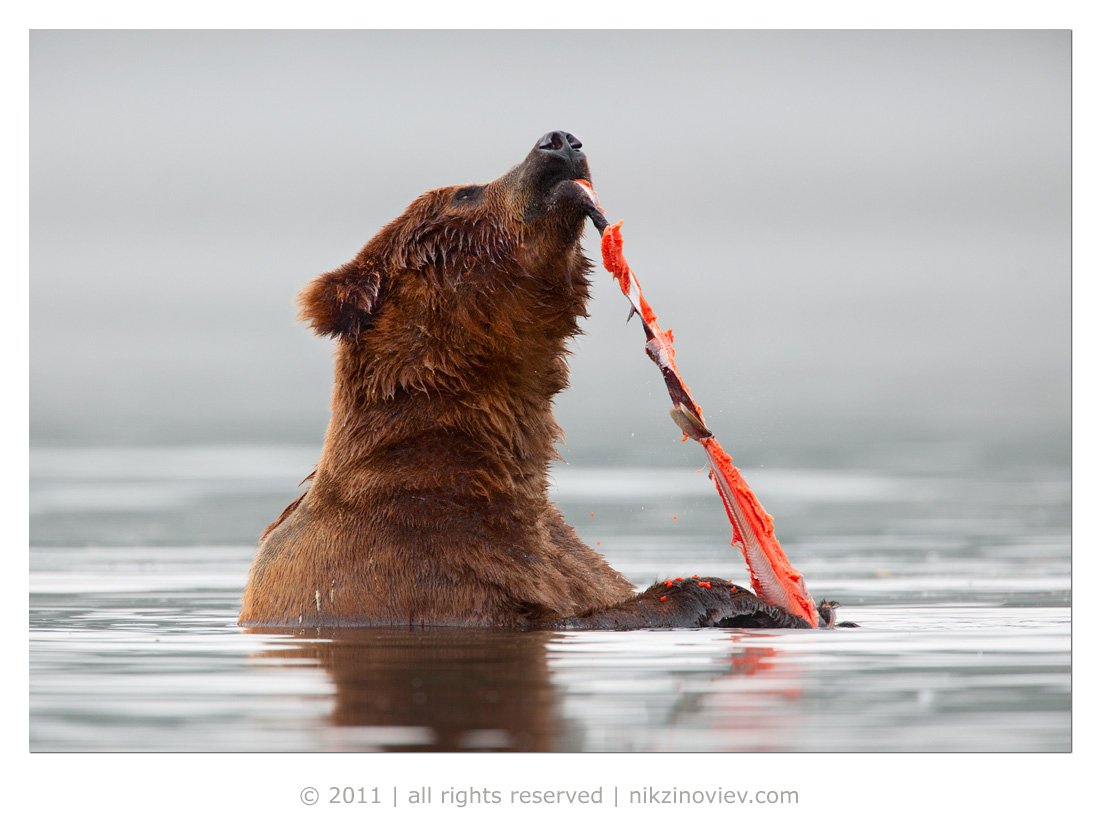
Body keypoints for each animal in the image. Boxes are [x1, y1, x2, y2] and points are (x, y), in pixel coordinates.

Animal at [238, 131, 818, 628]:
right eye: (465, 193)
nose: (559, 141)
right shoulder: (419, 565)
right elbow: (579, 615)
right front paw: (735, 595)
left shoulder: (556, 555)